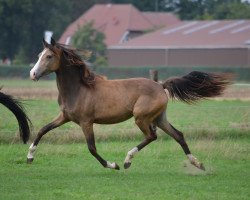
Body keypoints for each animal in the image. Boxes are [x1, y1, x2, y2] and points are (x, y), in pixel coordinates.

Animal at [26, 38, 231, 170]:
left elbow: (92, 148)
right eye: (39, 54)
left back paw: (127, 160)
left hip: (141, 118)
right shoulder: (65, 117)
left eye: (49, 56)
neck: (79, 88)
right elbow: (42, 130)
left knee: (152, 136)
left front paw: (112, 165)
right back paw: (197, 163)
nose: (32, 74)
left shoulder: (86, 122)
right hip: (159, 118)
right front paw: (29, 156)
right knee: (178, 135)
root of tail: (160, 85)